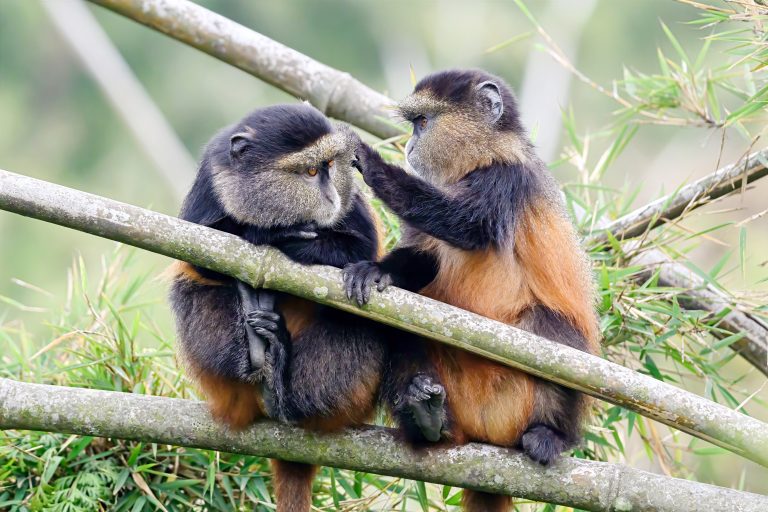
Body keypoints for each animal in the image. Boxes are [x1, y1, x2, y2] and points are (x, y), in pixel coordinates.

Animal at [169, 103, 388, 512]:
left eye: (330, 166)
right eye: (311, 172)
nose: (331, 196)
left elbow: (361, 248)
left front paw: (286, 239)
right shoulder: (211, 179)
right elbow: (196, 254)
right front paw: (267, 233)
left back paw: (283, 380)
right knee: (191, 288)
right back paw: (258, 352)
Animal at [342, 69, 600, 512]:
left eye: (422, 122)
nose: (409, 145)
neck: (484, 158)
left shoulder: (507, 180)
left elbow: (465, 225)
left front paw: (366, 158)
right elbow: (424, 259)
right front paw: (378, 270)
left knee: (550, 329)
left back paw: (551, 435)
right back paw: (427, 419)